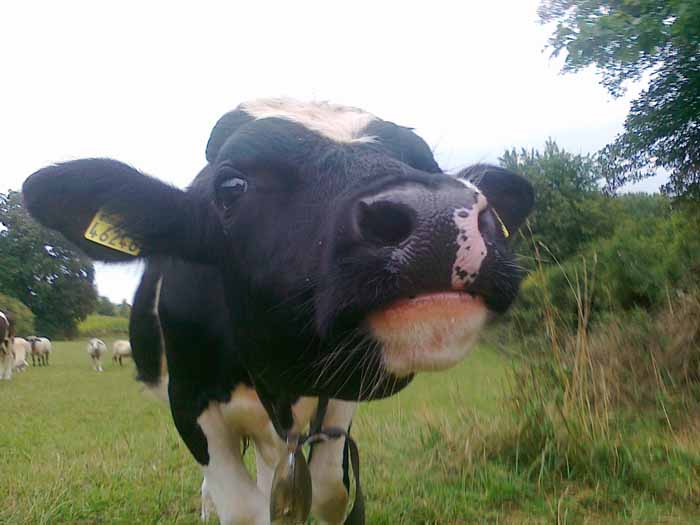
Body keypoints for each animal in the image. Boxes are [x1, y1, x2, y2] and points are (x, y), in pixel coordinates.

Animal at [22, 98, 534, 525]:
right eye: (231, 185)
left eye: (426, 164)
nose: (438, 213)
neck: (277, 378)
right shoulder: (188, 402)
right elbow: (242, 508)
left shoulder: (338, 402)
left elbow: (328, 492)